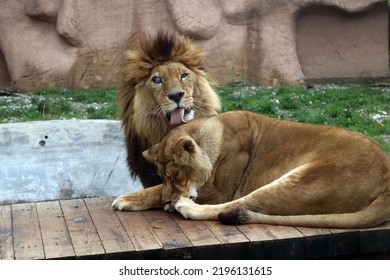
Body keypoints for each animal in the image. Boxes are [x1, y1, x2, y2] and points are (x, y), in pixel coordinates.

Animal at [112, 110, 390, 229]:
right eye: (164, 174)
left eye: (176, 175)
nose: (170, 201)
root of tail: (387, 175)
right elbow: (156, 189)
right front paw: (134, 197)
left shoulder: (221, 192)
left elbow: (157, 191)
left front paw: (130, 199)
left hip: (298, 182)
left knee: (238, 205)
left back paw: (187, 208)